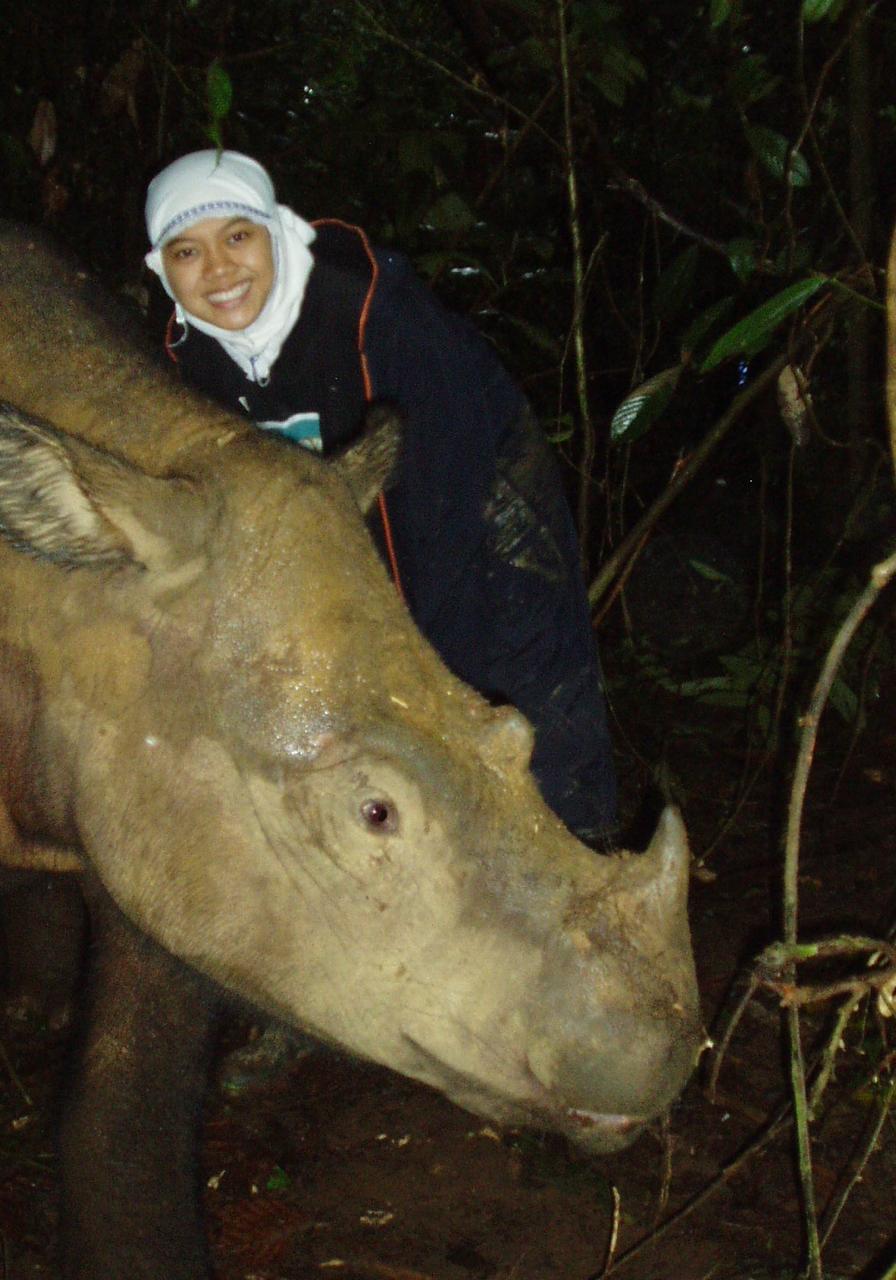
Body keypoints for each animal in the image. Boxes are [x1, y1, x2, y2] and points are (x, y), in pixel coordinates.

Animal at [0, 222, 701, 1280]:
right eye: (373, 813)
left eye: (517, 735)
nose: (666, 1052)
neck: (71, 601)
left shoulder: (162, 802)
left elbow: (128, 1106)